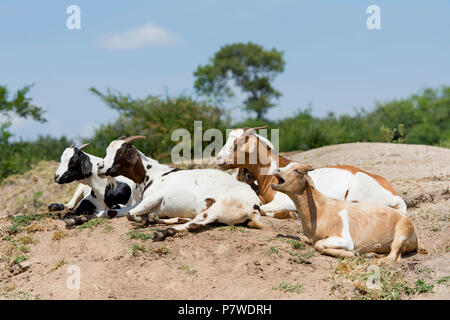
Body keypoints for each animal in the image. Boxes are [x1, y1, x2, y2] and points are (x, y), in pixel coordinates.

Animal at [94, 135, 264, 240]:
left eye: (120, 151)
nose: (100, 167)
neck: (155, 173)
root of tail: (254, 206)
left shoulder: (153, 198)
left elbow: (130, 214)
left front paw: (141, 221)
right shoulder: (142, 202)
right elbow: (112, 211)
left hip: (217, 208)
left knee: (194, 223)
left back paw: (160, 232)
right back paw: (155, 220)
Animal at [270, 161, 422, 264]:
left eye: (297, 170)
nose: (277, 170)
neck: (320, 209)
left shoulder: (343, 239)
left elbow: (319, 245)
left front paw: (353, 253)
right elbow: (307, 240)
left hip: (401, 234)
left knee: (392, 257)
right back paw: (372, 253)